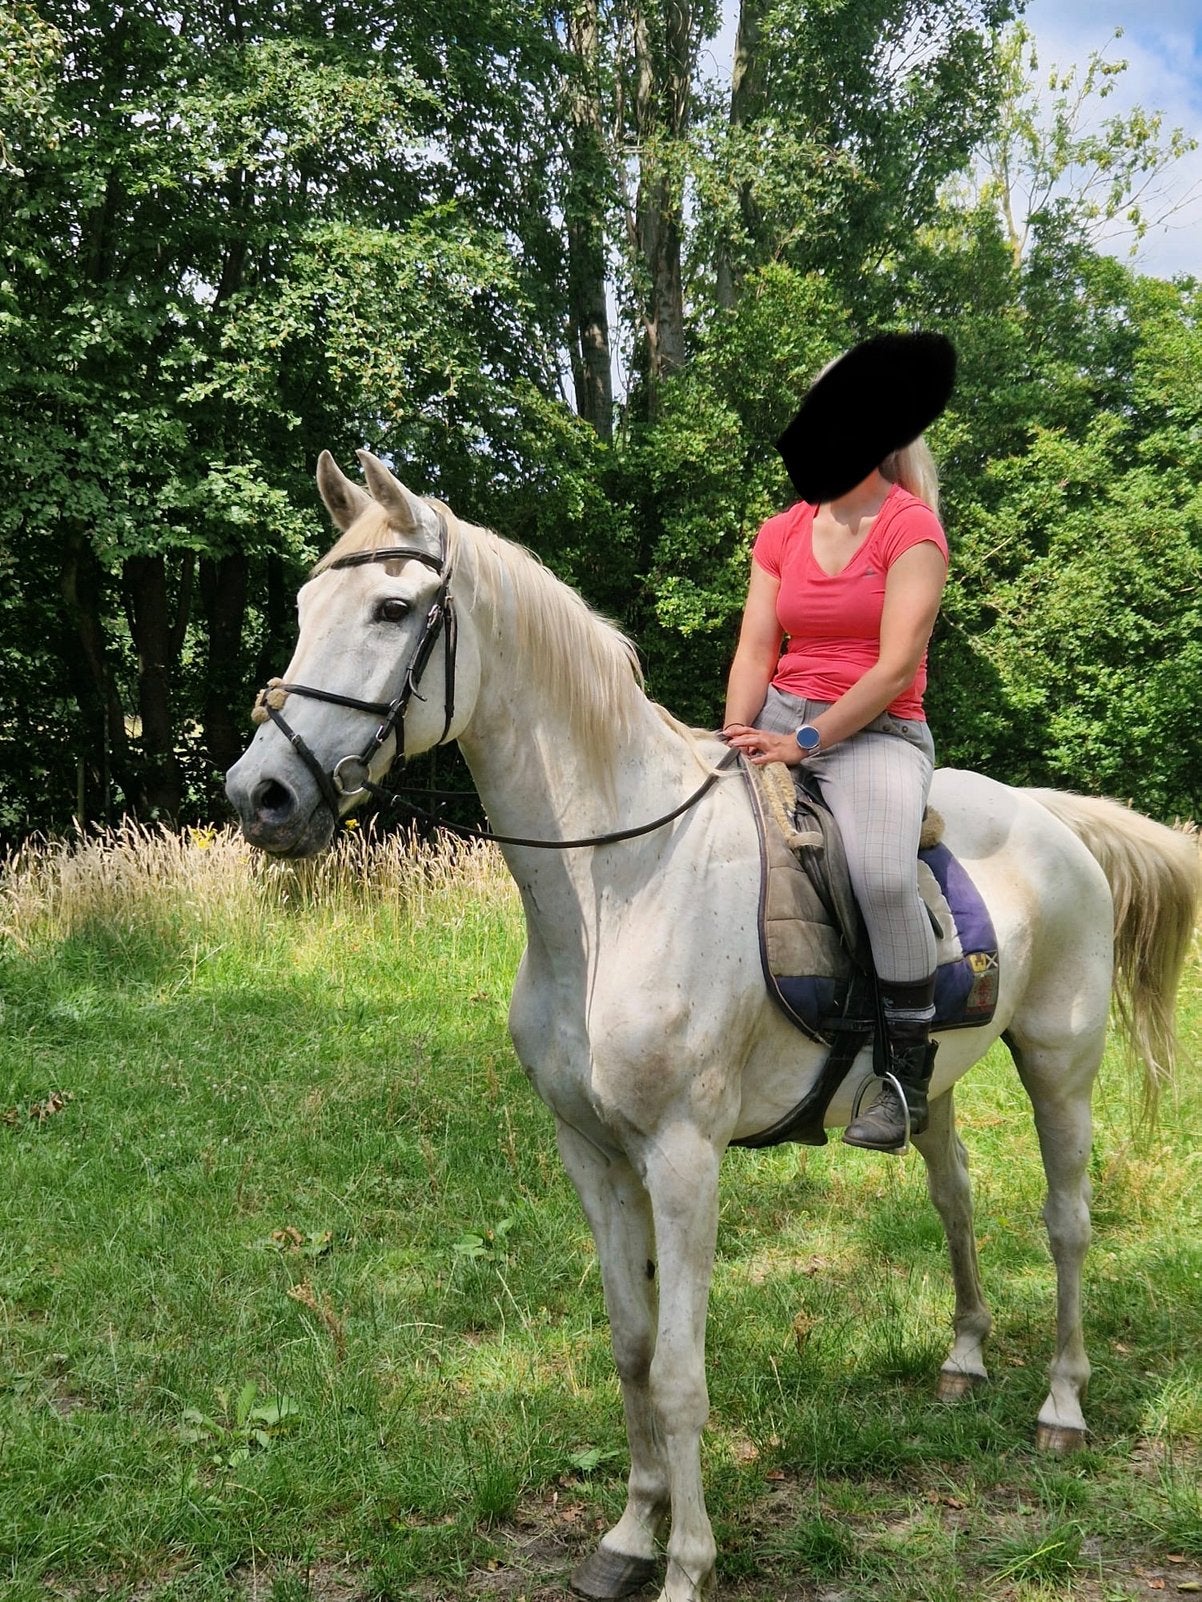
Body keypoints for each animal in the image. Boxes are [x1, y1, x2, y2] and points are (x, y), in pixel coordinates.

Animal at [226, 450, 1200, 1602]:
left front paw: (686, 1565)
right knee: (954, 1198)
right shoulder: (593, 1156)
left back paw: (1060, 1406)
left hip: (1059, 1065)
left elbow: (682, 1373)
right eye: (302, 608)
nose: (260, 794)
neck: (619, 883)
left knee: (1065, 1225)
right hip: (932, 1087)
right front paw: (627, 1536)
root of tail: (1053, 815)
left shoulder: (683, 1159)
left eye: (390, 609)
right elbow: (631, 1348)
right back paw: (962, 1359)